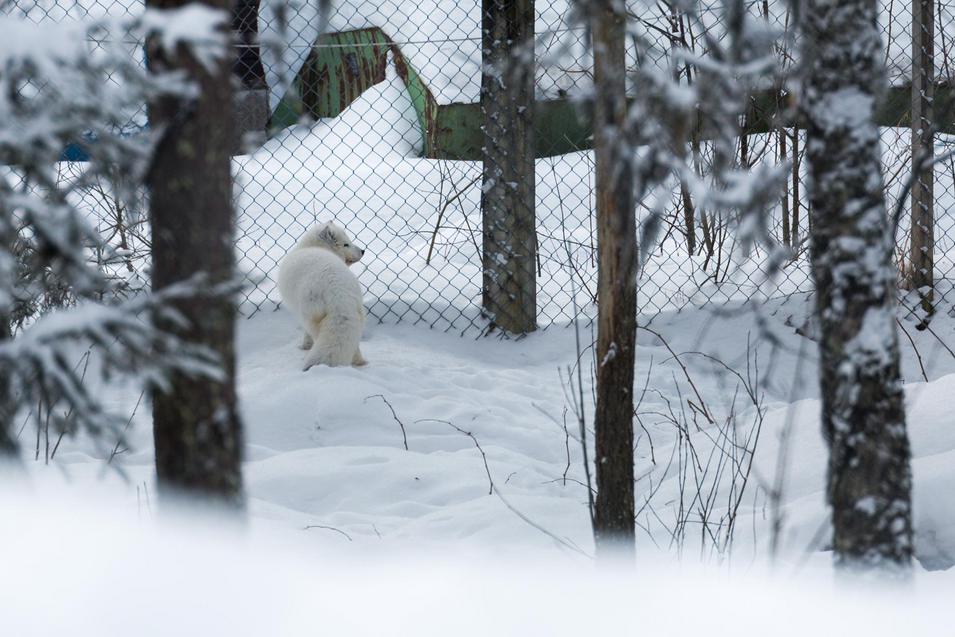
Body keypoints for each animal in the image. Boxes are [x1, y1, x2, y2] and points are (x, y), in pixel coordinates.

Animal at [278, 222, 368, 368]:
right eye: (346, 244)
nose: (363, 251)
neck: (312, 247)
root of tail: (338, 293)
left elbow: (306, 334)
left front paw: (305, 347)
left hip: (310, 317)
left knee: (315, 335)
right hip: (359, 315)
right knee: (355, 344)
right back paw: (360, 362)